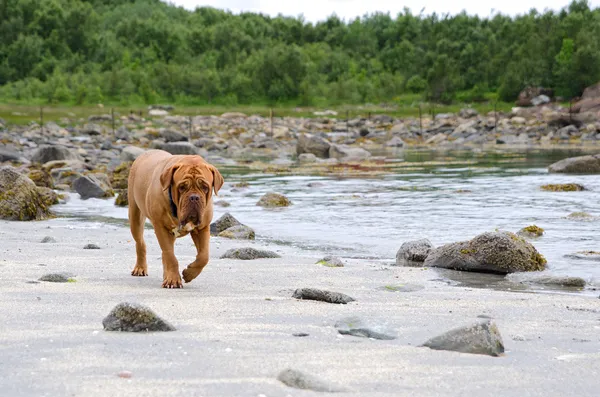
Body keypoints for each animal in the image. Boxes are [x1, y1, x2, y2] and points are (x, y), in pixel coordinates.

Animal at [127, 148, 224, 288]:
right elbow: (170, 255)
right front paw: (173, 279)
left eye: (205, 187)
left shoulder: (203, 228)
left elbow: (204, 256)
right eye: (182, 187)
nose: (194, 197)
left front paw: (189, 273)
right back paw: (141, 268)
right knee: (140, 243)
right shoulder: (160, 227)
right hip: (135, 216)